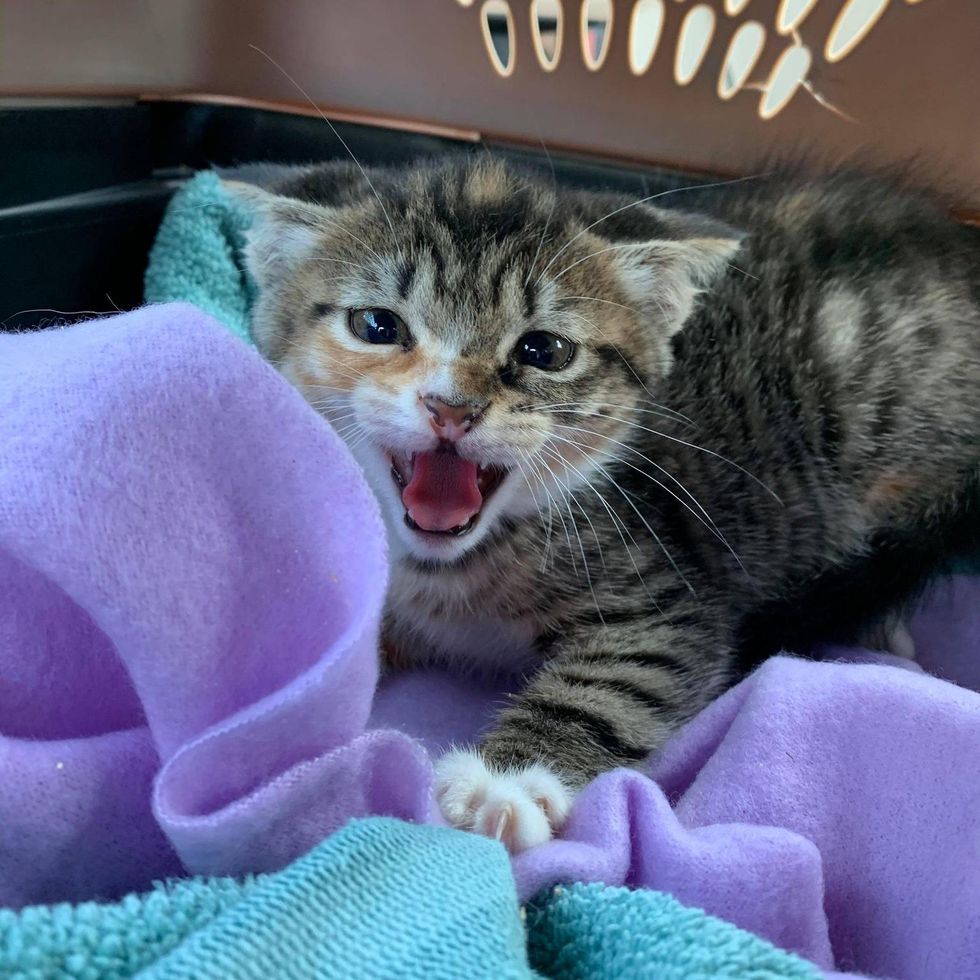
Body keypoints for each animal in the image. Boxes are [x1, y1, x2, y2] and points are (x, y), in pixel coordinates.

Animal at [232, 159, 980, 848]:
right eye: (377, 325)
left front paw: (505, 783)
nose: (451, 408)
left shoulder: (666, 593)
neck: (448, 566)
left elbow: (618, 682)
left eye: (543, 349)